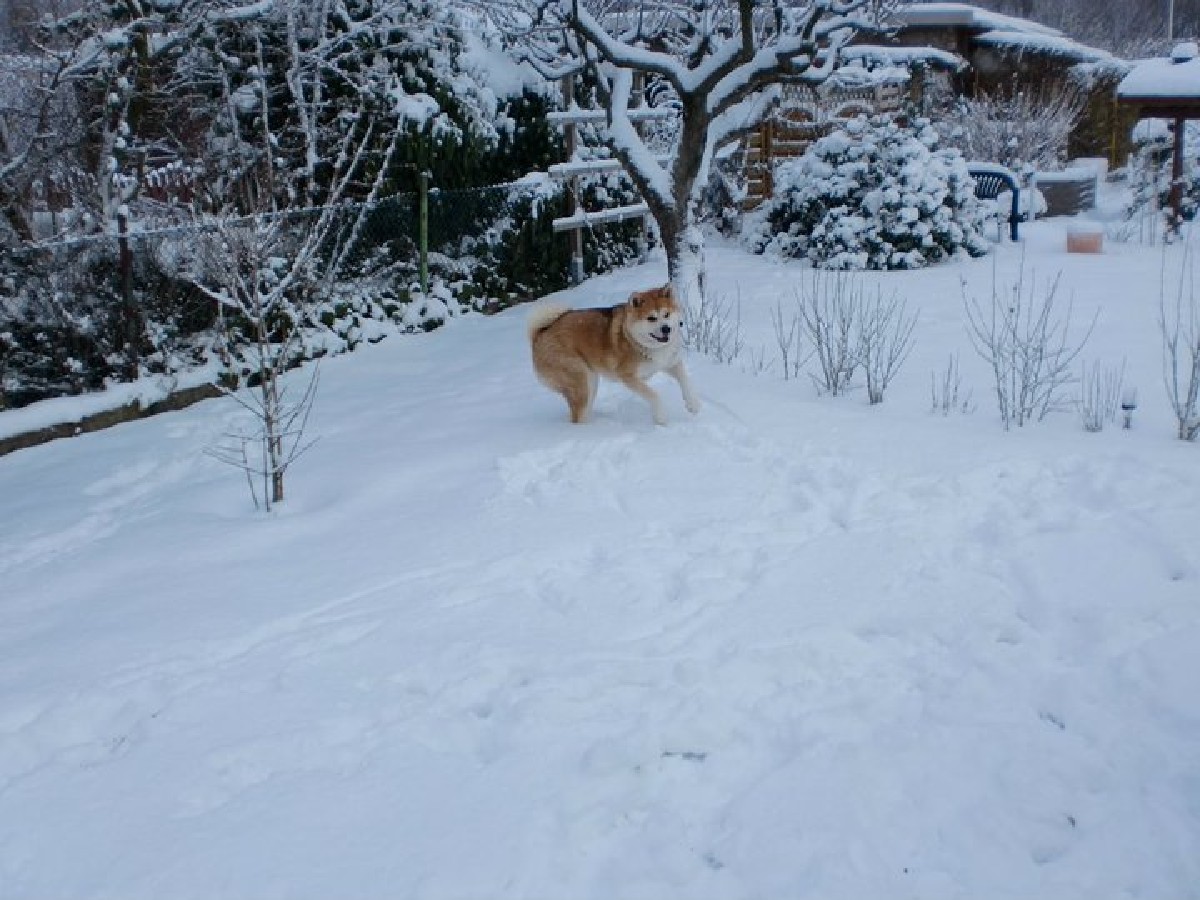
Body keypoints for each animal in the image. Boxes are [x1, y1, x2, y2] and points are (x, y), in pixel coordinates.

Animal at [527, 285, 700, 426]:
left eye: (666, 314)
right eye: (651, 318)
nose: (666, 329)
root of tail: (540, 335)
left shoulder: (670, 363)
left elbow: (685, 380)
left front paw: (693, 405)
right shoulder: (628, 377)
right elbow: (654, 395)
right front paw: (661, 418)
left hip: (591, 382)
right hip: (580, 381)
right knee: (578, 416)